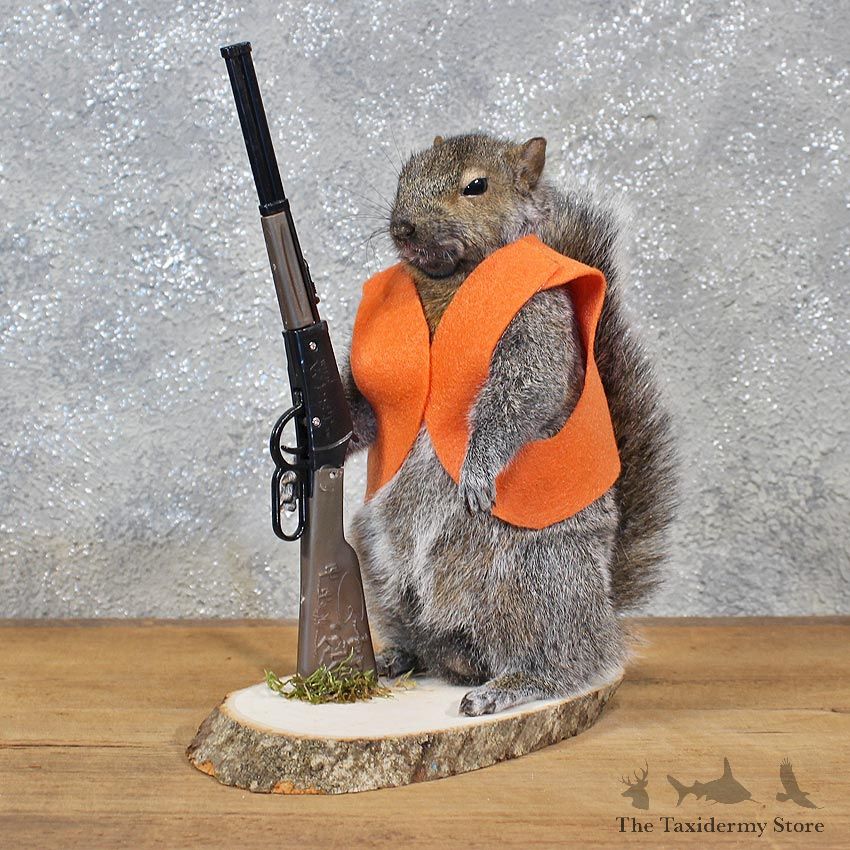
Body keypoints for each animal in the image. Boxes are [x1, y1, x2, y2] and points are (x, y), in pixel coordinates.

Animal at [337, 133, 676, 716]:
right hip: (378, 567)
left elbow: (518, 397)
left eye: (477, 186)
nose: (403, 226)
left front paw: (477, 468)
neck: (446, 281)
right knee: (424, 641)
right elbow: (369, 409)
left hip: (538, 581)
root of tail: (604, 613)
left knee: (562, 663)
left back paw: (507, 688)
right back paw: (395, 658)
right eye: (405, 174)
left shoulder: (537, 325)